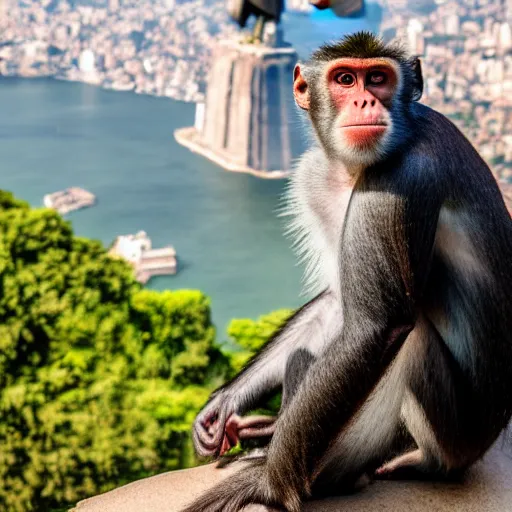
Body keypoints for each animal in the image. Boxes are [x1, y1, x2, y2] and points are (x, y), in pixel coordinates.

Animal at [183, 33, 512, 512]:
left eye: (377, 78)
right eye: (344, 79)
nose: (364, 101)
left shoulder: (399, 175)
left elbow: (378, 326)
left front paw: (269, 484)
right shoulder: (315, 176)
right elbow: (340, 300)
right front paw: (225, 402)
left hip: (457, 437)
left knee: (411, 338)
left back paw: (352, 472)